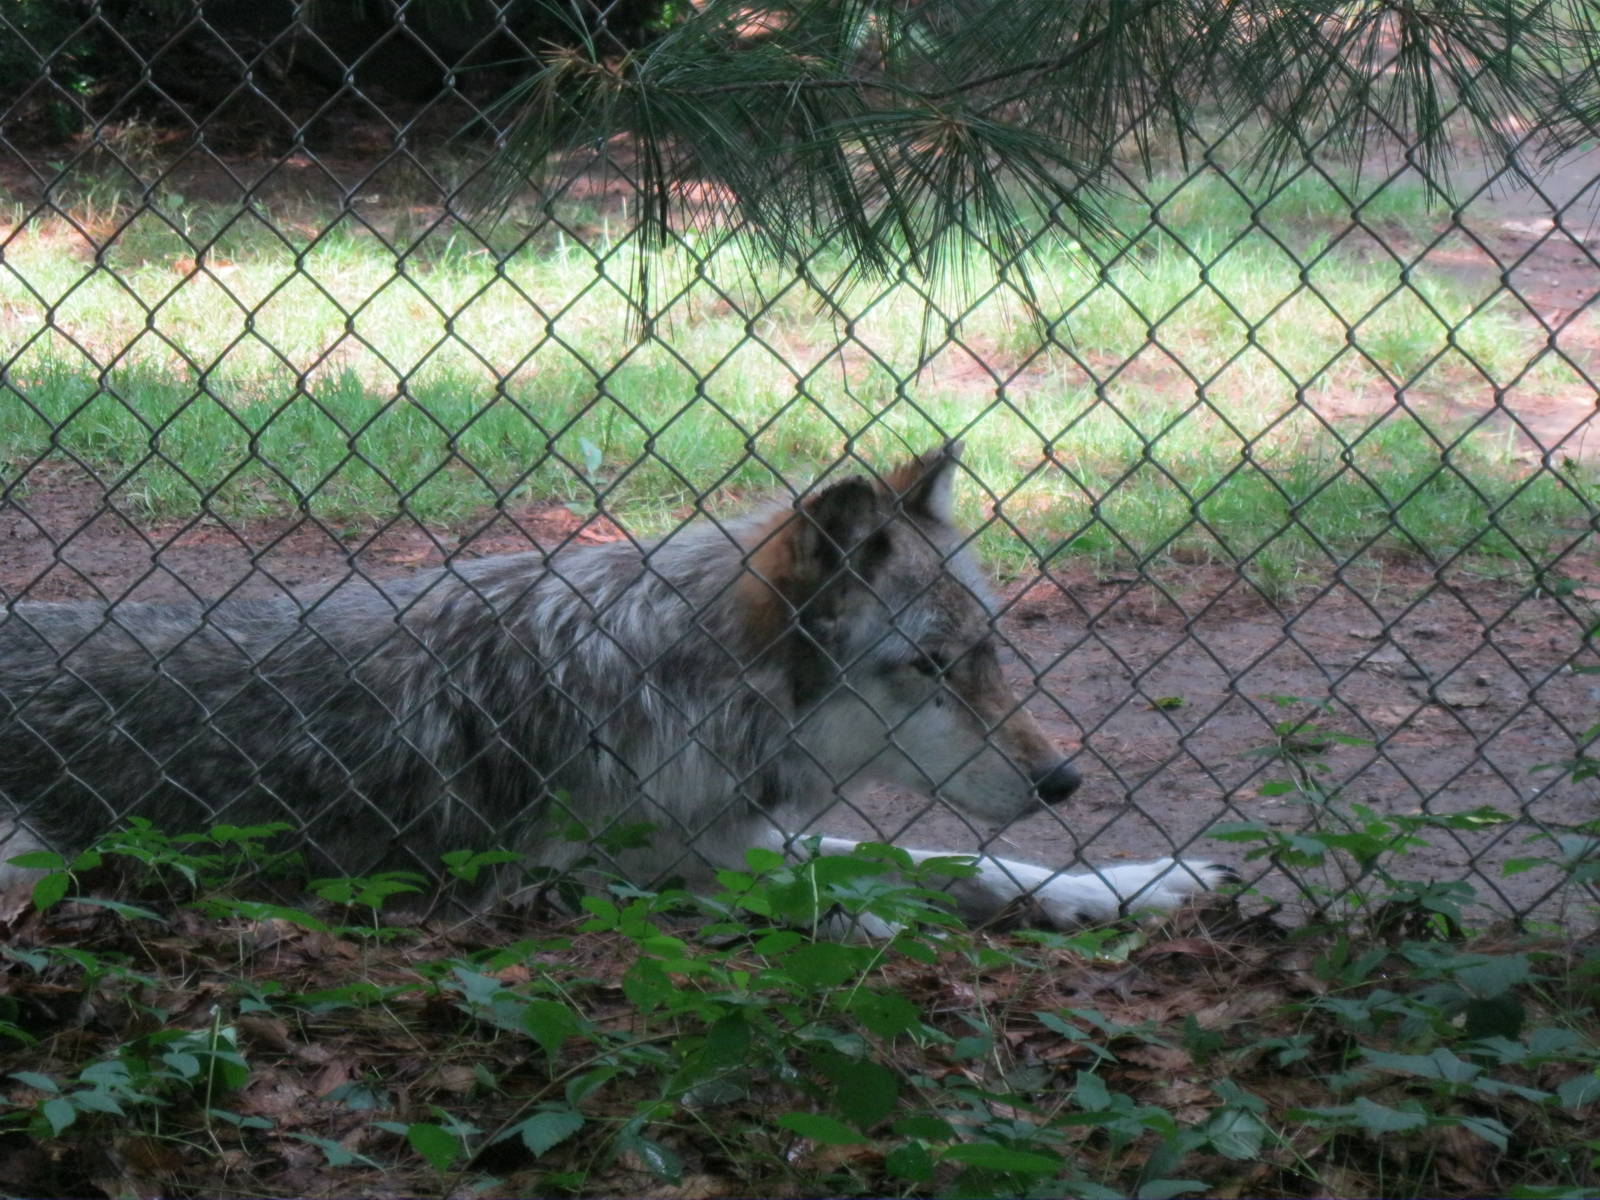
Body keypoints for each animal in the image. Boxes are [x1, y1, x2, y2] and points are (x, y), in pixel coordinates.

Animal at [0, 444, 1229, 926]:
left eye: (990, 653)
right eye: (927, 667)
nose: (1064, 781)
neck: (671, 682)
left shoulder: (734, 835)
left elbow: (957, 863)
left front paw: (1139, 884)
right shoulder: (589, 888)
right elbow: (855, 896)